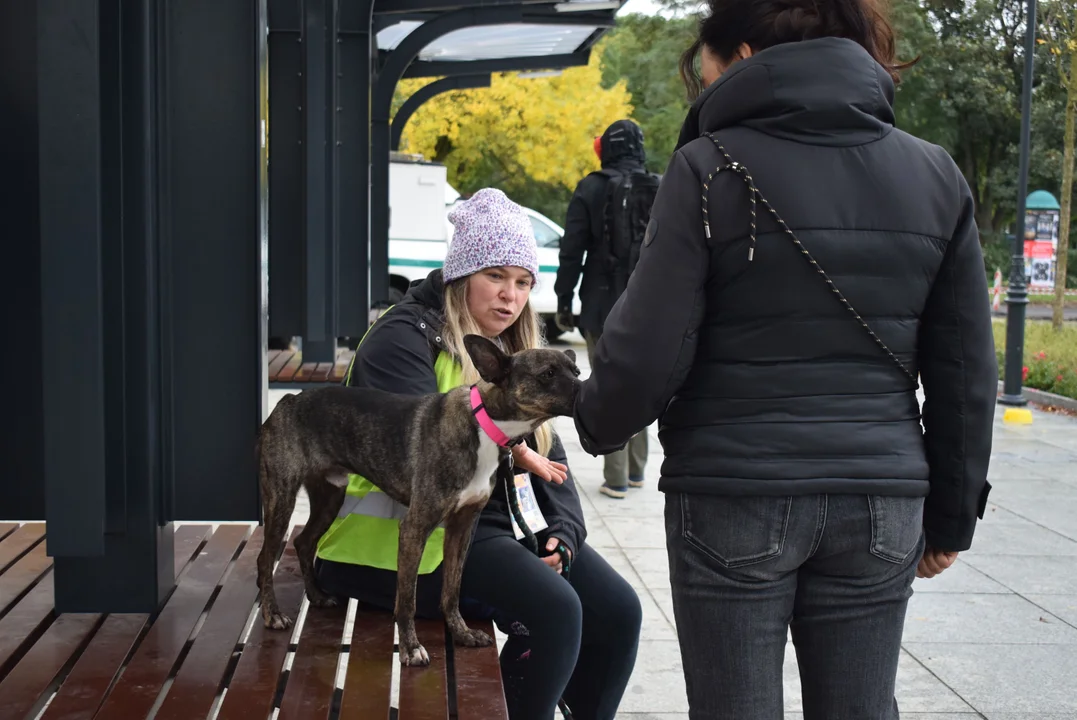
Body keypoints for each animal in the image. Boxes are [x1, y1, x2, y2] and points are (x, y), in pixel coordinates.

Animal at [255, 333, 581, 667]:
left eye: (576, 371)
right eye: (548, 374)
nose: (585, 389)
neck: (486, 425)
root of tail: (288, 401)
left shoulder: (461, 529)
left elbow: (451, 590)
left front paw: (462, 633)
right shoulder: (414, 529)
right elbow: (406, 600)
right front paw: (411, 647)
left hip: (329, 498)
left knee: (304, 543)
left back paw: (317, 595)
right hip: (281, 500)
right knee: (265, 558)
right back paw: (272, 614)